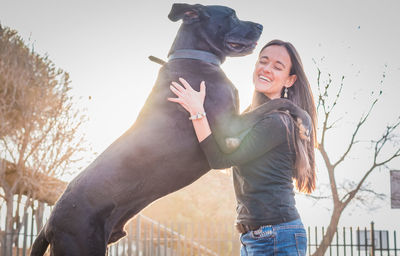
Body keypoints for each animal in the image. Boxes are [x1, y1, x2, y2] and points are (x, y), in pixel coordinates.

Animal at [32, 3, 312, 255]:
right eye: (231, 15)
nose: (260, 26)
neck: (194, 57)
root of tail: (48, 225)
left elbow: (273, 103)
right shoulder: (228, 133)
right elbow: (279, 103)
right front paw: (305, 121)